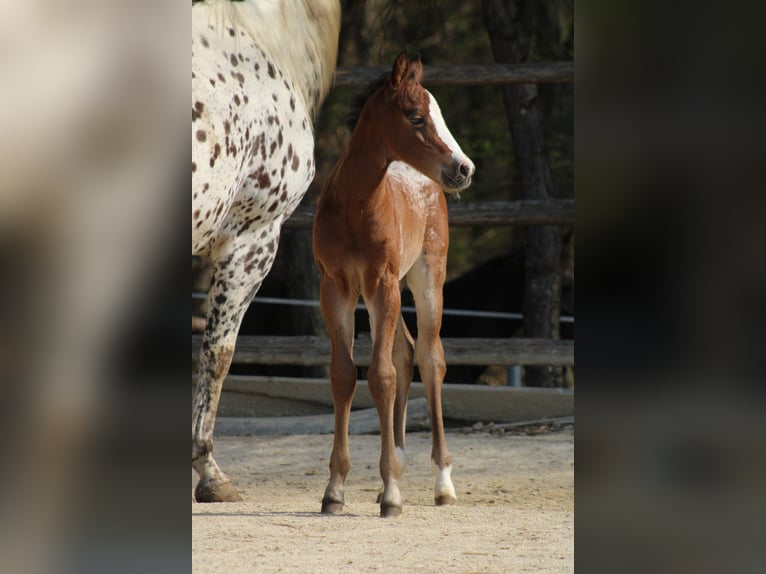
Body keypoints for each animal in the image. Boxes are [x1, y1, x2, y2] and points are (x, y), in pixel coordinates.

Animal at [312, 52, 475, 517]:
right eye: (416, 116)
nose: (464, 168)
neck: (355, 205)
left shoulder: (380, 283)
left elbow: (381, 376)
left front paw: (391, 495)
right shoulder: (336, 288)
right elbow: (344, 375)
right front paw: (335, 490)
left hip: (425, 277)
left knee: (429, 357)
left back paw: (442, 483)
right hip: (388, 290)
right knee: (404, 352)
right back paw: (399, 461)